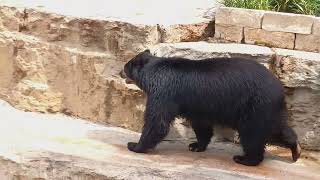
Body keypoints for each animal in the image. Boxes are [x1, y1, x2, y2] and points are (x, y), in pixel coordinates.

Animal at [120, 49, 300, 166]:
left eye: (125, 67)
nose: (120, 73)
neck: (152, 73)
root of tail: (279, 87)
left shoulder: (164, 91)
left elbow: (157, 121)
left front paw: (134, 145)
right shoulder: (197, 104)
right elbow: (201, 125)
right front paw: (195, 145)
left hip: (255, 106)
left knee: (252, 134)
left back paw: (245, 159)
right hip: (269, 109)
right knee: (278, 128)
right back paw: (296, 149)